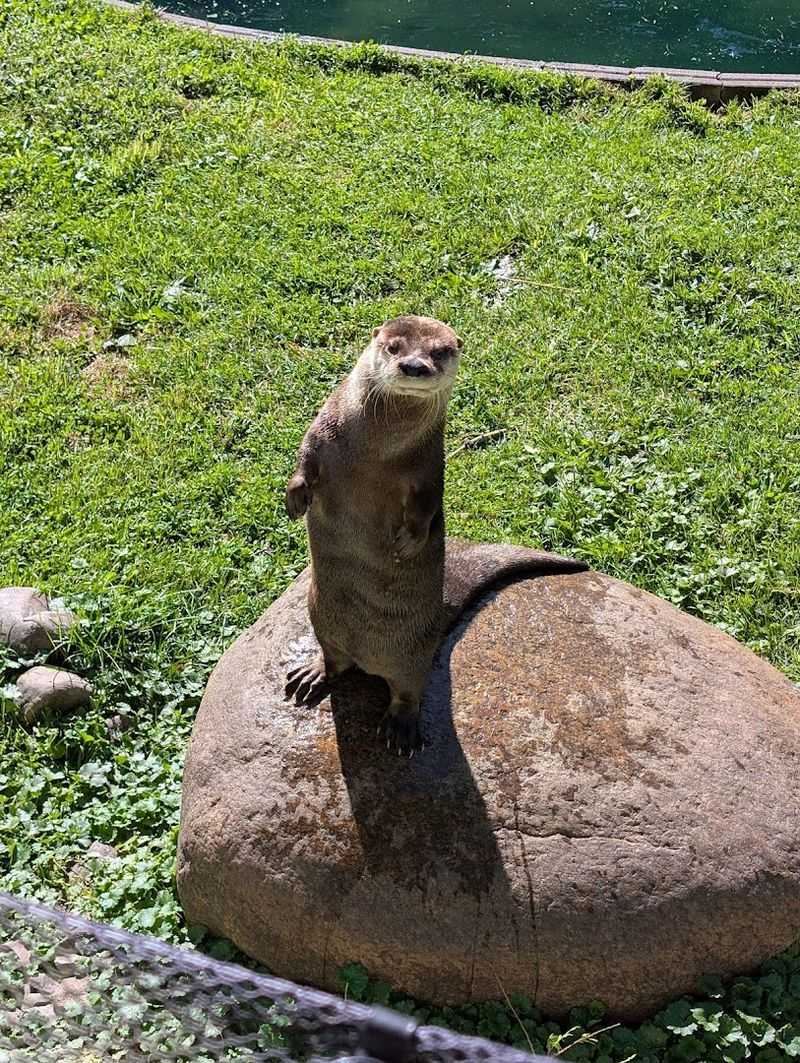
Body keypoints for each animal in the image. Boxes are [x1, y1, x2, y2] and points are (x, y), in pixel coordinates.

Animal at [285, 314, 587, 755]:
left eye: (440, 351)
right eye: (393, 347)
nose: (414, 365)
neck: (375, 449)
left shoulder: (428, 466)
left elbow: (428, 503)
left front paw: (410, 541)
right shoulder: (324, 427)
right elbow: (304, 455)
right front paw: (295, 497)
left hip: (411, 655)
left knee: (409, 689)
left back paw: (400, 729)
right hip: (319, 616)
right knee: (334, 660)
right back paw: (313, 673)